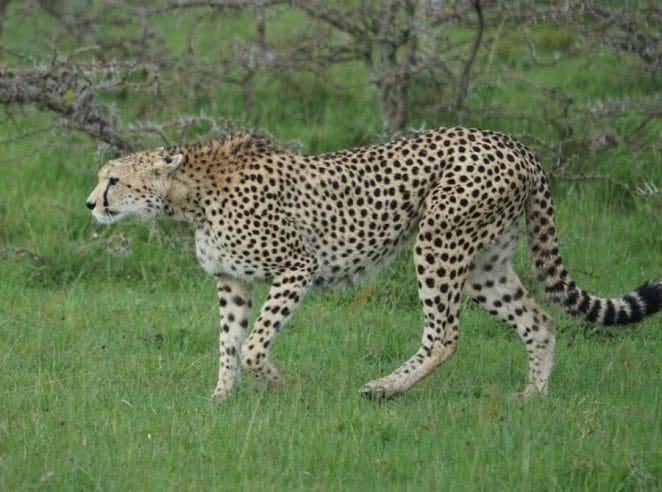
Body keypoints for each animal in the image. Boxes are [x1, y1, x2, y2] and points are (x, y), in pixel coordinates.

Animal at [86, 127, 661, 402]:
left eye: (113, 179)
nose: (90, 203)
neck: (190, 194)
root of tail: (515, 144)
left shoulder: (296, 267)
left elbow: (251, 346)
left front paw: (279, 384)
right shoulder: (233, 282)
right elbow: (228, 344)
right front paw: (221, 398)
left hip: (437, 243)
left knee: (445, 334)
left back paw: (386, 388)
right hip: (484, 264)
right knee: (540, 321)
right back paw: (532, 397)